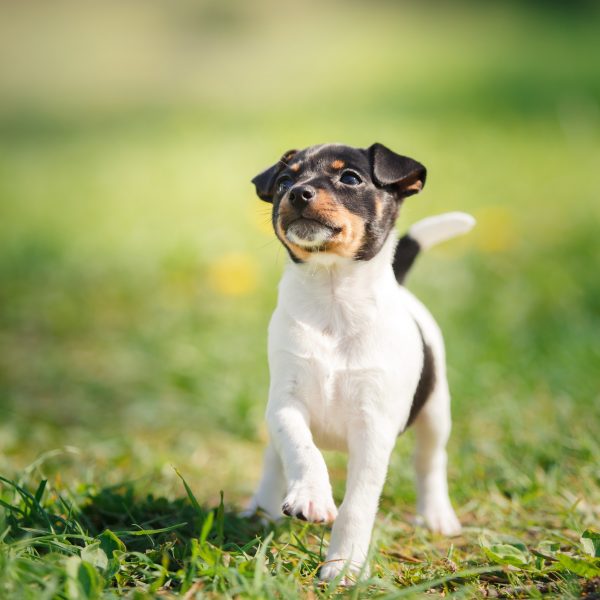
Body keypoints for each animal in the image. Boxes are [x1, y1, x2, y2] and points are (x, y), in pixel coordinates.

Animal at [244, 142, 474, 580]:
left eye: (349, 178)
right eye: (283, 181)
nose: (297, 193)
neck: (333, 297)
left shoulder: (374, 426)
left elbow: (358, 505)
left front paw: (344, 566)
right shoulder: (284, 403)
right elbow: (301, 449)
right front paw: (311, 495)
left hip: (436, 412)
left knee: (430, 461)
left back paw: (437, 516)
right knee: (273, 458)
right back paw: (262, 508)